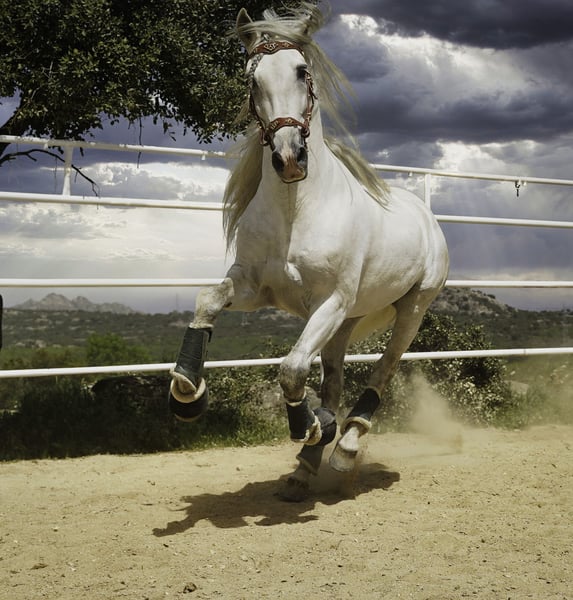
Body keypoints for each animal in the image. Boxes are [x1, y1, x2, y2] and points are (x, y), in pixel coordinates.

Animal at [168, 3, 449, 501]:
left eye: (303, 71)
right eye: (251, 79)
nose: (288, 159)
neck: (296, 208)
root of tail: (425, 216)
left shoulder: (329, 301)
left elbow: (292, 368)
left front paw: (310, 426)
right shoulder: (253, 287)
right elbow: (207, 301)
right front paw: (187, 393)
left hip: (411, 308)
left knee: (384, 370)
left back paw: (344, 448)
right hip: (348, 320)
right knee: (334, 380)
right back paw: (305, 467)